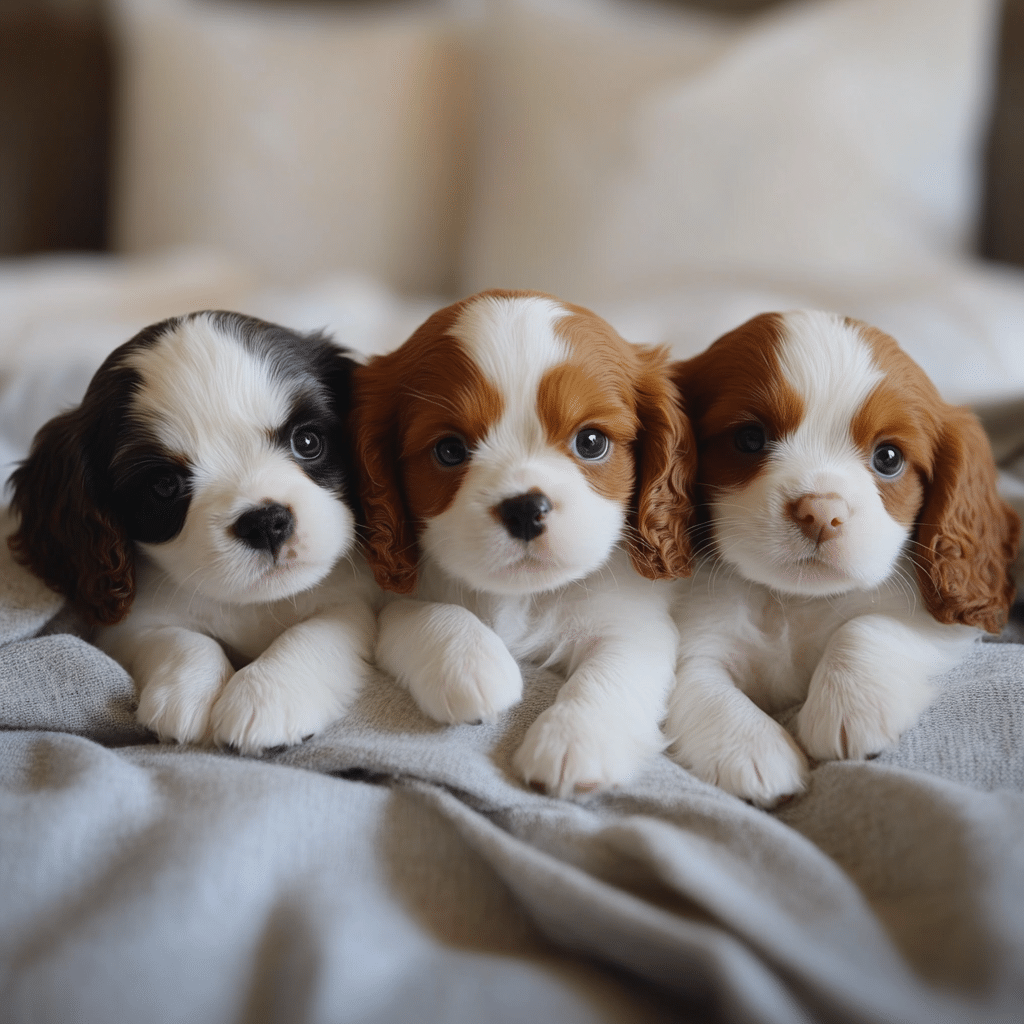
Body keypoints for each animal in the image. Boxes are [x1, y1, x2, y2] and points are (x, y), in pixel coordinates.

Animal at [7, 311, 377, 753]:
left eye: (307, 441)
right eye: (164, 485)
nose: (265, 522)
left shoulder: (355, 598)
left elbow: (317, 630)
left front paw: (267, 695)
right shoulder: (128, 624)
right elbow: (178, 639)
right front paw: (188, 692)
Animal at [351, 289, 693, 797]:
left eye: (591, 442)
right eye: (449, 450)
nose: (525, 508)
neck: (524, 595)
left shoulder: (634, 622)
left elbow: (614, 670)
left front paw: (572, 739)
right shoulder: (395, 592)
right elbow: (417, 611)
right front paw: (470, 664)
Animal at [665, 310, 1020, 806]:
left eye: (888, 457)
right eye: (750, 439)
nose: (821, 513)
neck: (794, 600)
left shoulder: (944, 616)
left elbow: (866, 627)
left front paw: (850, 707)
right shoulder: (695, 637)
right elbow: (698, 678)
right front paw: (751, 748)